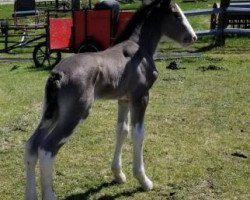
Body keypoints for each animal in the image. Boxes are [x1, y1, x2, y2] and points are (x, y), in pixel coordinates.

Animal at [24, 0, 197, 199]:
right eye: (176, 15)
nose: (193, 37)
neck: (139, 48)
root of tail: (57, 74)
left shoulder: (124, 100)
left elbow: (122, 130)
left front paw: (118, 175)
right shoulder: (141, 97)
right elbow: (138, 133)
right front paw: (144, 180)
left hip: (51, 112)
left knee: (31, 146)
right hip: (76, 114)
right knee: (46, 150)